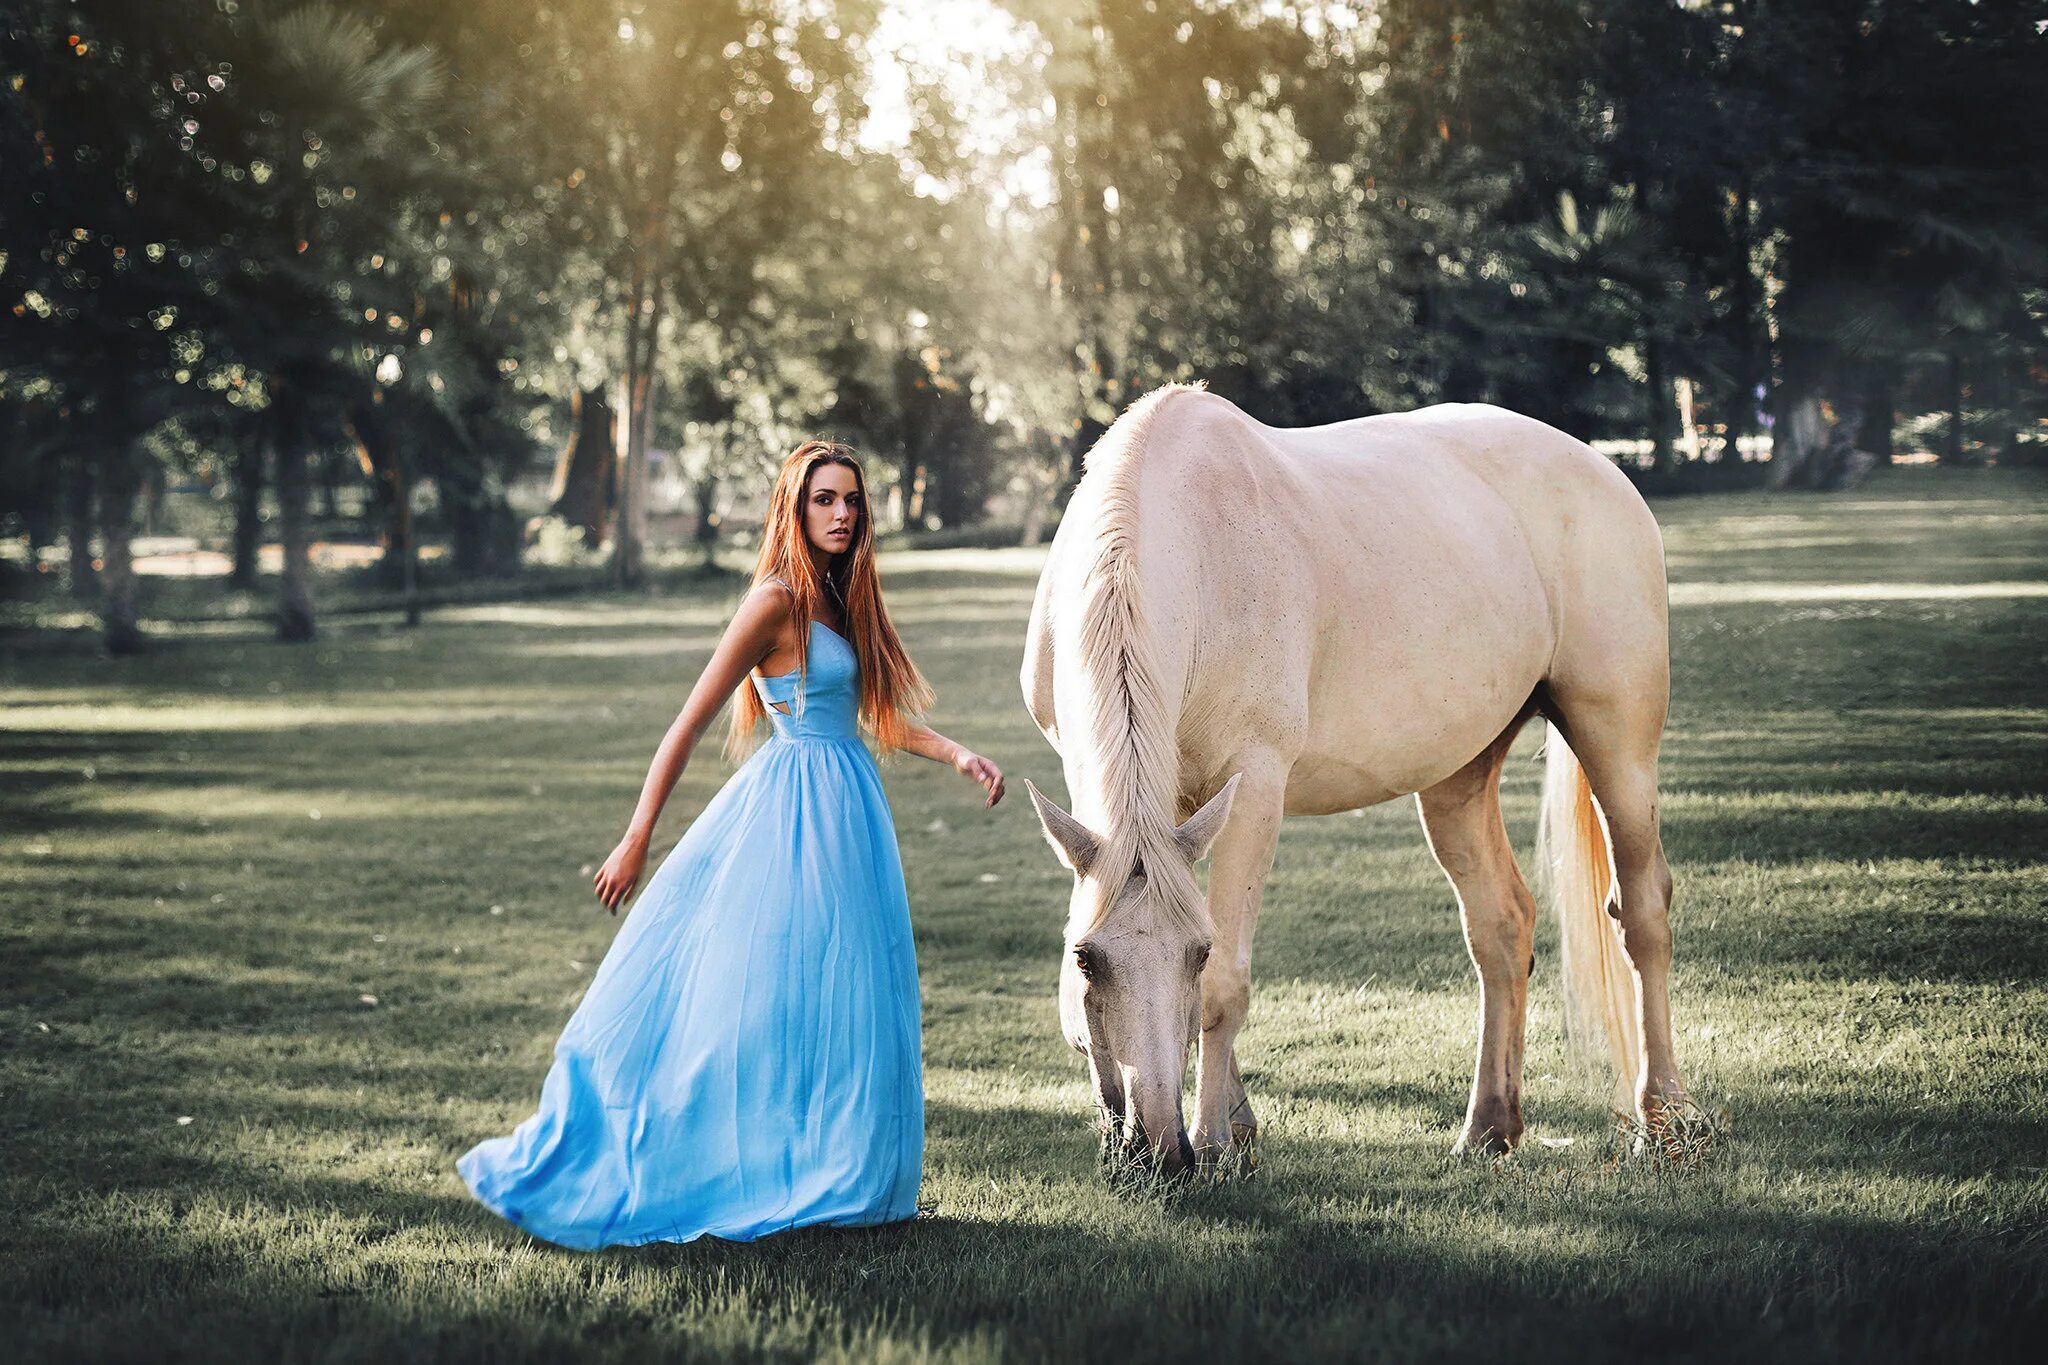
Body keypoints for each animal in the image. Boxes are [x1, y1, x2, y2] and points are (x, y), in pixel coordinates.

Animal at [1019, 382, 1679, 1178]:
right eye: (1087, 958)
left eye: (1194, 954)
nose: (1158, 1153)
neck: (1194, 551)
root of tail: (1603, 470)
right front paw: (1235, 1125)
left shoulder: (1254, 786)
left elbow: (1226, 984)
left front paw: (1216, 1141)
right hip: (1457, 775)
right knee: (1501, 927)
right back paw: (1489, 1127)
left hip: (1616, 741)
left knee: (1642, 912)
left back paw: (1665, 1121)